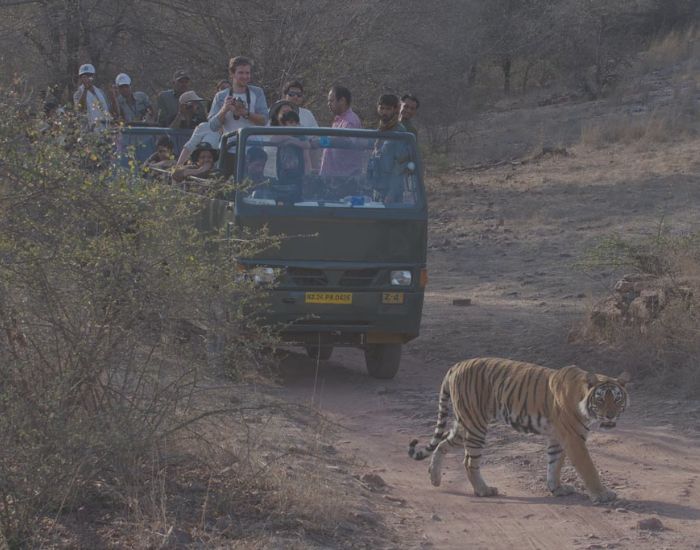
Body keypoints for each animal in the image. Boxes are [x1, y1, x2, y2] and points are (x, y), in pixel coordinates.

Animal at [404, 358, 628, 504]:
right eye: (601, 399)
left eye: (617, 399)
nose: (610, 416)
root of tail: (455, 366)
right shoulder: (574, 438)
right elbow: (588, 468)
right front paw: (602, 494)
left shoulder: (557, 437)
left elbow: (554, 465)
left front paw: (557, 488)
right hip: (476, 425)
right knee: (469, 461)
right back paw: (484, 490)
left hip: (464, 425)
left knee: (442, 444)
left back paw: (434, 478)